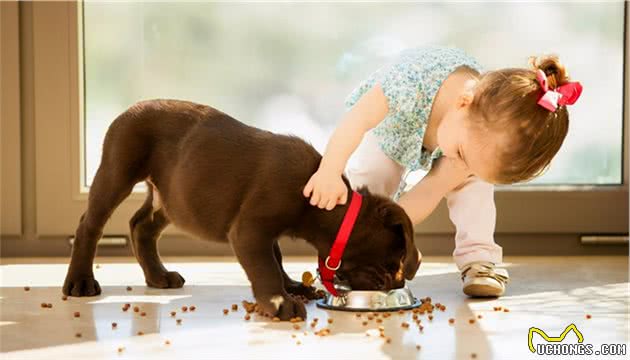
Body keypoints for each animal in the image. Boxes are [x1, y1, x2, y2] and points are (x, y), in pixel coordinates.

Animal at [61, 99, 422, 320]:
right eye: (392, 263)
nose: (394, 284)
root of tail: (130, 107)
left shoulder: (264, 231)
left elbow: (276, 257)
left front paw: (291, 286)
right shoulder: (251, 229)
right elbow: (265, 266)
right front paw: (280, 301)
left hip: (173, 196)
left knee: (141, 225)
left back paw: (158, 276)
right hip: (118, 169)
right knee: (89, 224)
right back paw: (80, 281)